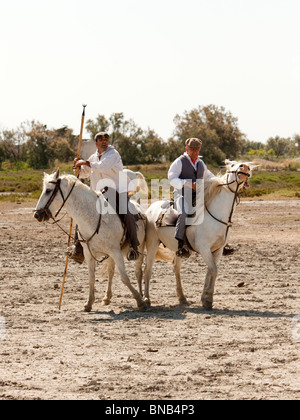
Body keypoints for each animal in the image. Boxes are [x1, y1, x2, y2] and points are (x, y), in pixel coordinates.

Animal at [34, 170, 148, 312]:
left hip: (139, 247)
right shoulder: (90, 254)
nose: (37, 215)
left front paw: (139, 301)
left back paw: (143, 297)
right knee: (111, 271)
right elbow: (92, 278)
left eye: (48, 190)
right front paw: (89, 303)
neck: (94, 217)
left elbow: (124, 278)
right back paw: (107, 297)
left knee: (138, 272)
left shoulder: (115, 251)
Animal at [144, 160, 253, 308]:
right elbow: (213, 270)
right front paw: (207, 299)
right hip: (152, 244)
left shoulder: (218, 250)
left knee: (176, 269)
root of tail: (151, 208)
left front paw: (206, 297)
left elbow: (211, 271)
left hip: (178, 249)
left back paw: (182, 298)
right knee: (147, 270)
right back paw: (146, 299)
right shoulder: (204, 248)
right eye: (232, 165)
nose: (245, 167)